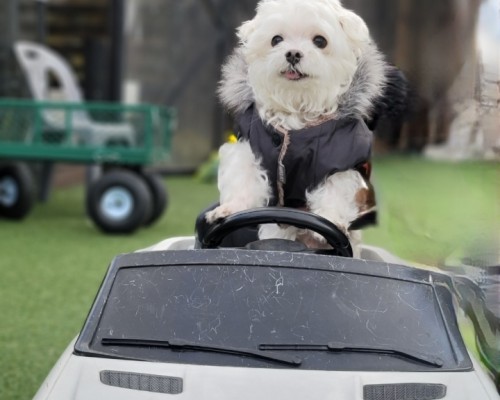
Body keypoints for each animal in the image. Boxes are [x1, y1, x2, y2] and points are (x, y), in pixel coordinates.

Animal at [205, 0, 388, 256]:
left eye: (320, 41)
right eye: (276, 40)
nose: (292, 53)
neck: (297, 109)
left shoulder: (341, 160)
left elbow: (335, 192)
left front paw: (332, 219)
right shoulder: (247, 148)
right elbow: (244, 179)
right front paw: (229, 209)